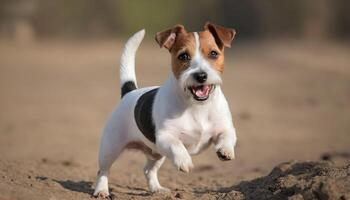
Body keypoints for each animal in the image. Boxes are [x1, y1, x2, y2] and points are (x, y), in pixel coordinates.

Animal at [93, 21, 237, 197]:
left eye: (214, 53)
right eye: (183, 56)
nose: (201, 75)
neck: (197, 106)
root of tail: (129, 92)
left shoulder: (226, 128)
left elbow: (227, 137)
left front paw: (225, 150)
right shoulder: (164, 137)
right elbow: (177, 146)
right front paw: (184, 160)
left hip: (156, 154)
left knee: (148, 170)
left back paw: (157, 189)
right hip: (110, 148)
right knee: (103, 171)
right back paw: (101, 190)